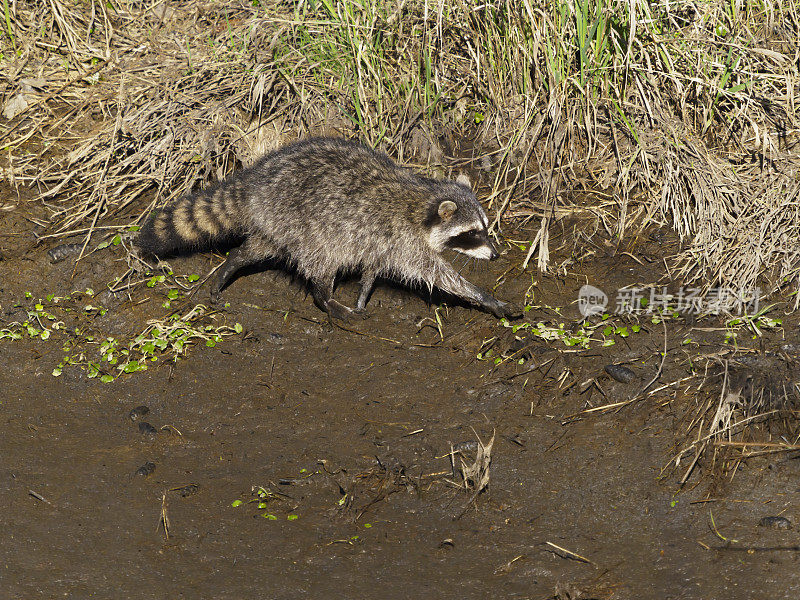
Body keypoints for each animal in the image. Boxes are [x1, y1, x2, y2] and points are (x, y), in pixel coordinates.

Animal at [137, 138, 520, 322]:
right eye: (472, 233)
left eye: (485, 228)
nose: (494, 254)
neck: (423, 201)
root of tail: (254, 180)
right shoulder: (403, 239)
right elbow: (439, 275)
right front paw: (484, 297)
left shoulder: (382, 241)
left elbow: (372, 269)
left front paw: (364, 294)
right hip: (306, 223)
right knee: (320, 263)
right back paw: (326, 299)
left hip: (278, 222)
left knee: (257, 248)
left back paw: (232, 263)